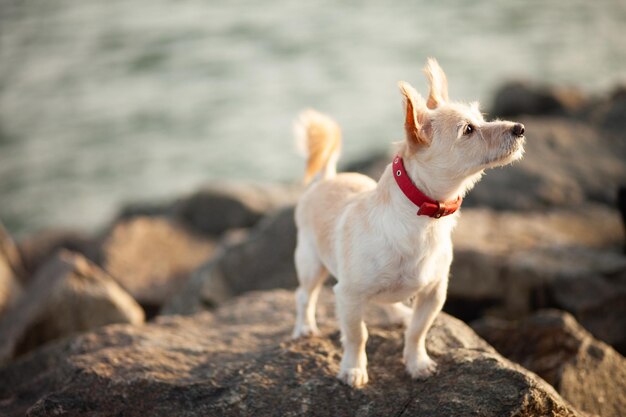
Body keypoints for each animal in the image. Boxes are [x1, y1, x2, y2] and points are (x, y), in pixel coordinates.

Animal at [292, 58, 520, 386]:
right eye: (469, 130)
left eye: (482, 118)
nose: (520, 128)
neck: (424, 219)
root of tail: (328, 178)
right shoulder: (348, 295)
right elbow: (357, 335)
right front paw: (353, 369)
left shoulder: (433, 293)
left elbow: (417, 331)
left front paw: (417, 363)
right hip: (311, 264)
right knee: (303, 296)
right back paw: (304, 327)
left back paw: (398, 314)